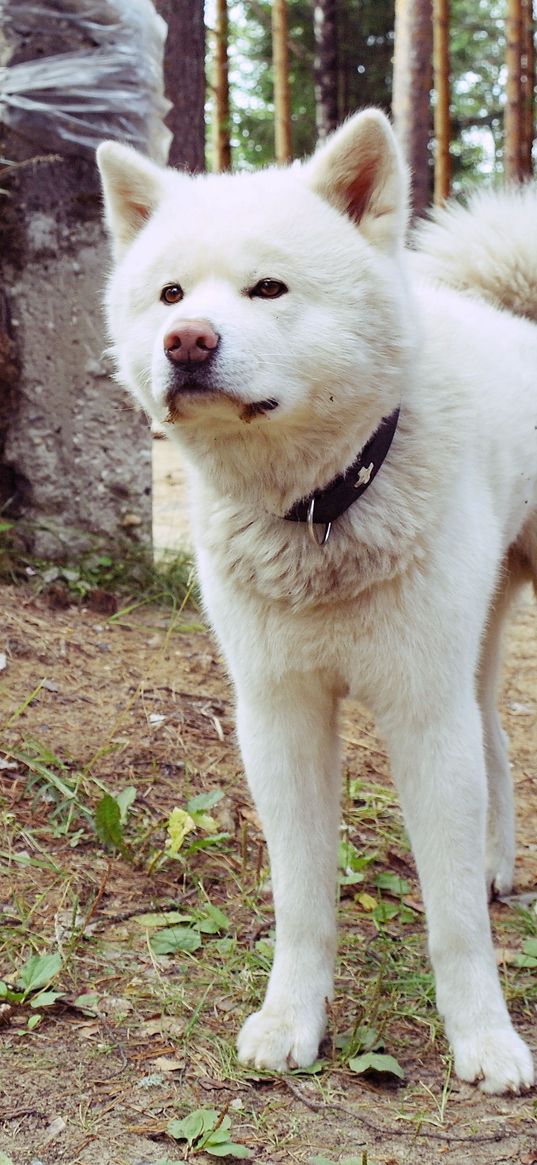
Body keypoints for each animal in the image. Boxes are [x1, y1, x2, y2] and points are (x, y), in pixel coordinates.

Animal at [96, 109, 535, 1090]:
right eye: (170, 293)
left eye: (268, 287)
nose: (187, 340)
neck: (324, 510)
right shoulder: (280, 714)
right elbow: (300, 896)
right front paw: (289, 1020)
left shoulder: (421, 713)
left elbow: (453, 919)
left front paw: (483, 1038)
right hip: (472, 651)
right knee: (494, 740)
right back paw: (498, 862)